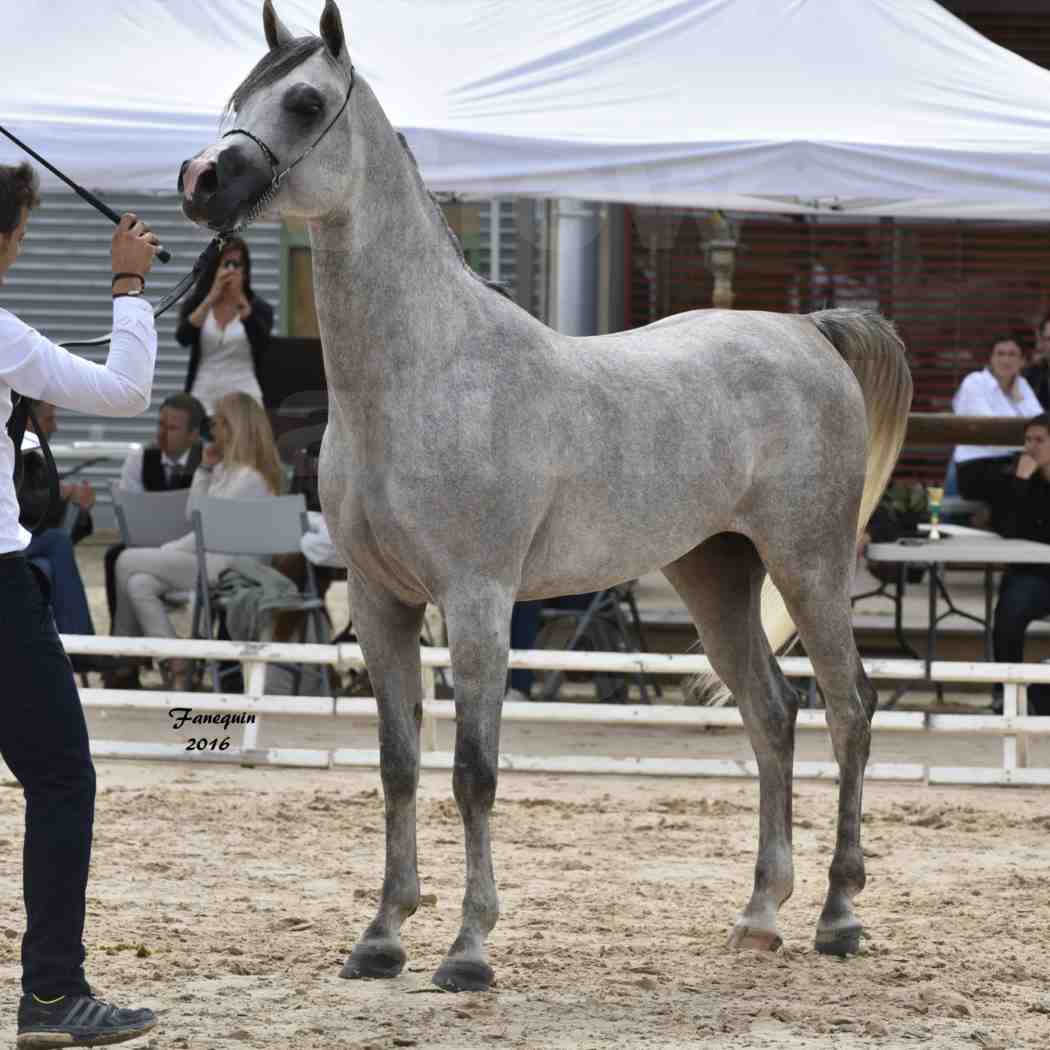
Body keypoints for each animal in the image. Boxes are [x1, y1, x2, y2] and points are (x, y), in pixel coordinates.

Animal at [180, 2, 911, 991]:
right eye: (237, 96)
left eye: (302, 101)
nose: (201, 181)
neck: (428, 374)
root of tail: (806, 331)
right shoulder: (377, 602)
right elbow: (399, 765)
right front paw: (382, 937)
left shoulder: (478, 602)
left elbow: (475, 772)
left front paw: (467, 950)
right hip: (715, 577)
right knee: (772, 716)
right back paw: (760, 915)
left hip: (809, 567)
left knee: (850, 709)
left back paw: (839, 915)